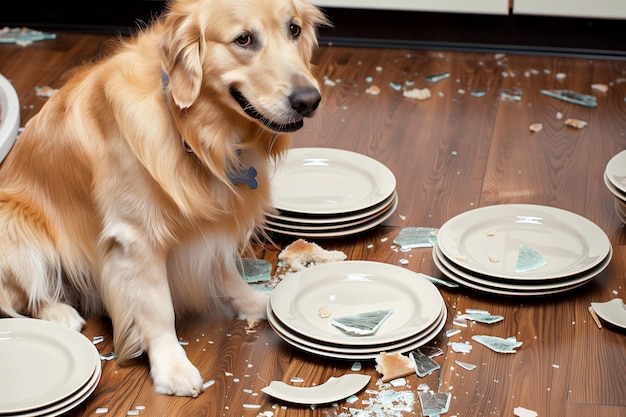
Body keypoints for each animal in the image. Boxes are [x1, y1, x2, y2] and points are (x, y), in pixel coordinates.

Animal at [0, 0, 324, 396]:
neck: (196, 132)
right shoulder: (136, 239)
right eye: (244, 39)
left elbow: (226, 271)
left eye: (294, 29)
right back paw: (59, 312)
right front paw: (171, 367)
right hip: (14, 223)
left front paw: (254, 305)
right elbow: (158, 309)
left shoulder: (213, 220)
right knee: (23, 294)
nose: (309, 100)